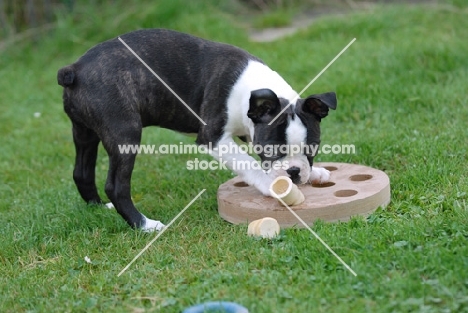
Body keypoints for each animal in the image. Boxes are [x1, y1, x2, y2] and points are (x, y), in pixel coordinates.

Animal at [57, 28, 336, 230]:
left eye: (313, 148)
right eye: (273, 150)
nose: (294, 172)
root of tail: (75, 69)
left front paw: (314, 172)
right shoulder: (214, 138)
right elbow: (248, 164)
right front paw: (271, 185)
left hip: (84, 131)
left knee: (81, 172)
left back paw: (99, 207)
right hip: (125, 131)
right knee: (116, 185)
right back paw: (144, 225)